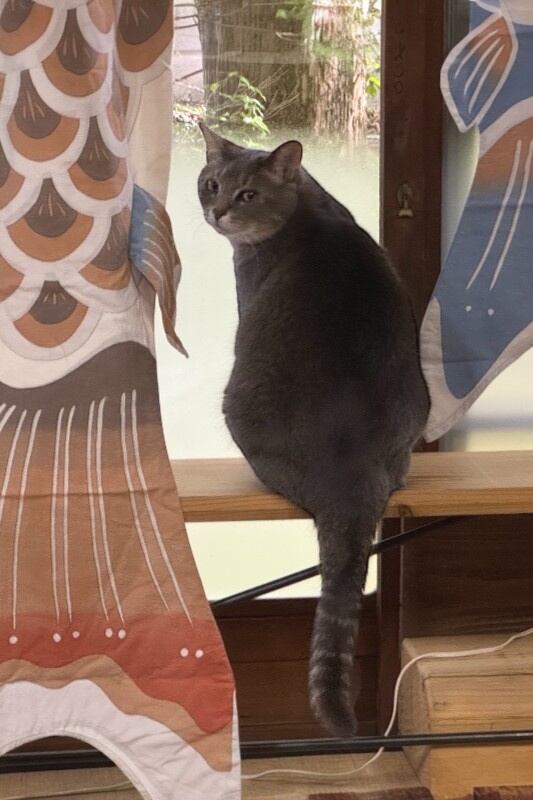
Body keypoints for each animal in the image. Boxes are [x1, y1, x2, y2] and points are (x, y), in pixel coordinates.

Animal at [197, 123, 429, 737]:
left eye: (247, 194)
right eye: (211, 183)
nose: (217, 211)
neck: (305, 208)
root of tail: (352, 474)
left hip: (238, 404)